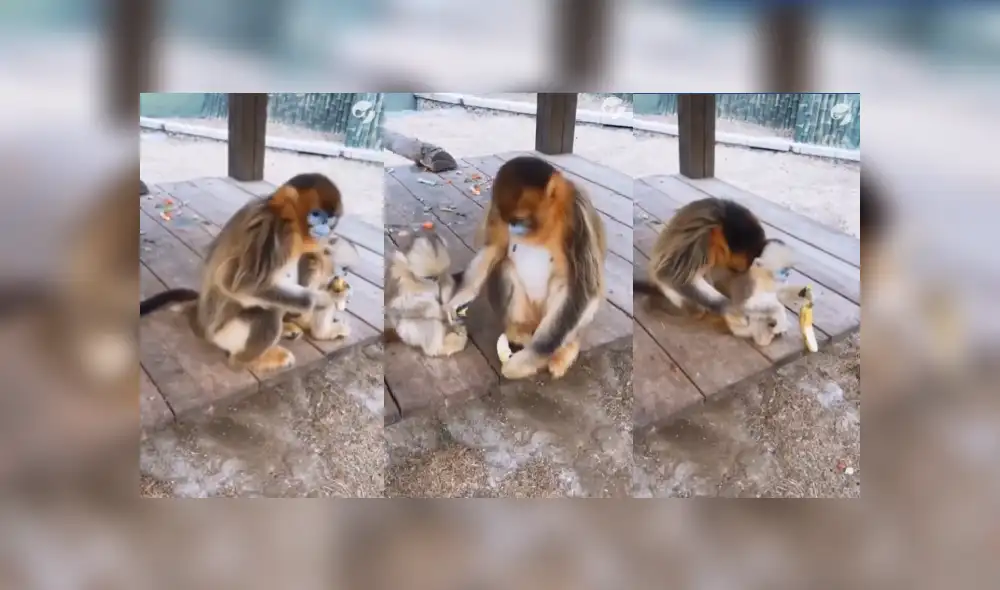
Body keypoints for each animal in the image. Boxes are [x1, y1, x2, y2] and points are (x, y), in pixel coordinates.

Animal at [139, 173, 345, 374]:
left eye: (330, 219)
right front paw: (324, 299)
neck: (289, 223)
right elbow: (239, 283)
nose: (325, 228)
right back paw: (248, 361)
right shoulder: (270, 229)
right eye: (316, 215)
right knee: (266, 312)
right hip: (226, 335)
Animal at [384, 225, 469, 357]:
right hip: (407, 333)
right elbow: (399, 303)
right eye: (429, 277)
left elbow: (447, 282)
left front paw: (448, 307)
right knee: (431, 323)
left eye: (436, 276)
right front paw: (437, 309)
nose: (436, 280)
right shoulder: (398, 275)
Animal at [446, 155, 607, 380]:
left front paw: (526, 361)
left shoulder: (578, 213)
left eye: (519, 219)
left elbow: (584, 287)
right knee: (505, 266)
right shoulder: (497, 210)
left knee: (566, 289)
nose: (513, 227)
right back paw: (519, 332)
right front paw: (460, 298)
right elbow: (495, 248)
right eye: (508, 219)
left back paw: (563, 349)